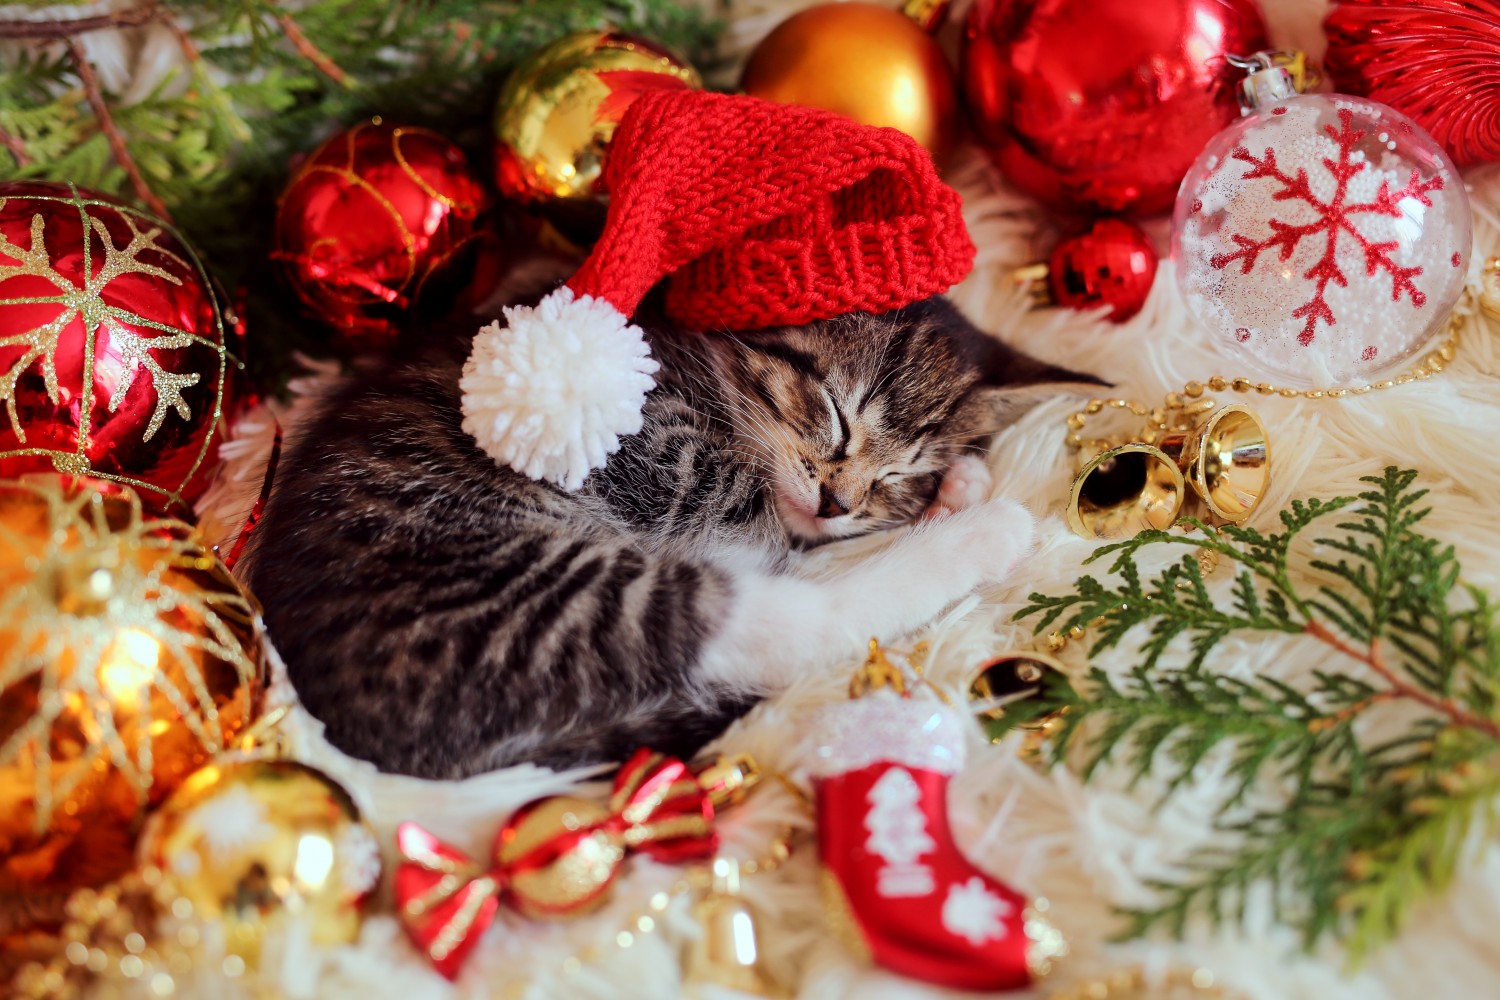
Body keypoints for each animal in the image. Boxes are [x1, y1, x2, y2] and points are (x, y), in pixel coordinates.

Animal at [243, 293, 1092, 779]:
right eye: (834, 412)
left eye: (901, 474)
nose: (839, 502)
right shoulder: (649, 455)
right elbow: (756, 523)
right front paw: (958, 500)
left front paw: (955, 484)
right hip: (521, 601)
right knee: (781, 625)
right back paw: (983, 534)